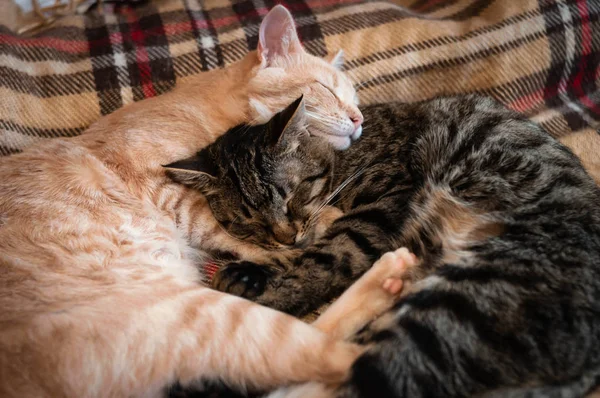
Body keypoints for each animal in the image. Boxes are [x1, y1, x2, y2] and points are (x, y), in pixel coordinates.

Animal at [0, 6, 378, 398]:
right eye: (327, 89)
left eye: (355, 100)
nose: (359, 118)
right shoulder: (168, 190)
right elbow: (229, 232)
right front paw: (314, 224)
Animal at [166, 95, 600, 396]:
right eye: (247, 222)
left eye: (291, 197)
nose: (285, 236)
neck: (340, 158)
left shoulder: (384, 201)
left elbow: (326, 257)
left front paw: (261, 282)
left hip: (461, 303)